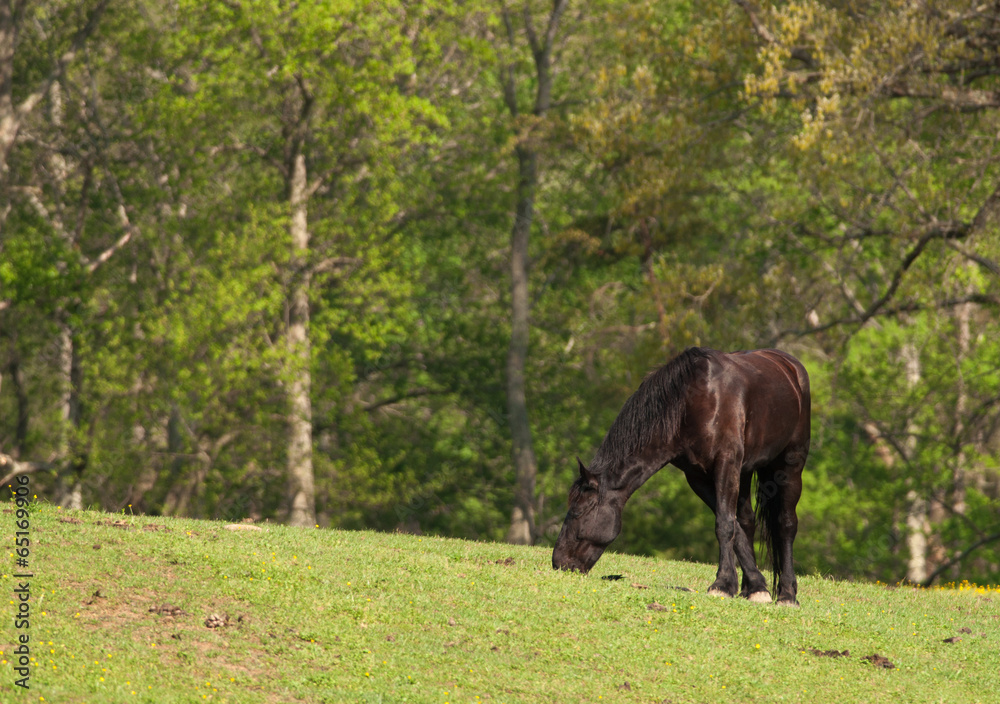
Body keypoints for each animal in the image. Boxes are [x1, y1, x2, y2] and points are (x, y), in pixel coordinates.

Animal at [552, 346, 808, 604]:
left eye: (577, 512)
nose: (558, 563)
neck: (693, 402)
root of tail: (789, 365)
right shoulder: (697, 477)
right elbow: (732, 524)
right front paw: (756, 586)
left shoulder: (726, 464)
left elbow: (725, 524)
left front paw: (722, 584)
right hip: (744, 473)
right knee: (747, 521)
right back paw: (750, 589)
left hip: (790, 466)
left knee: (786, 524)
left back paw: (787, 594)